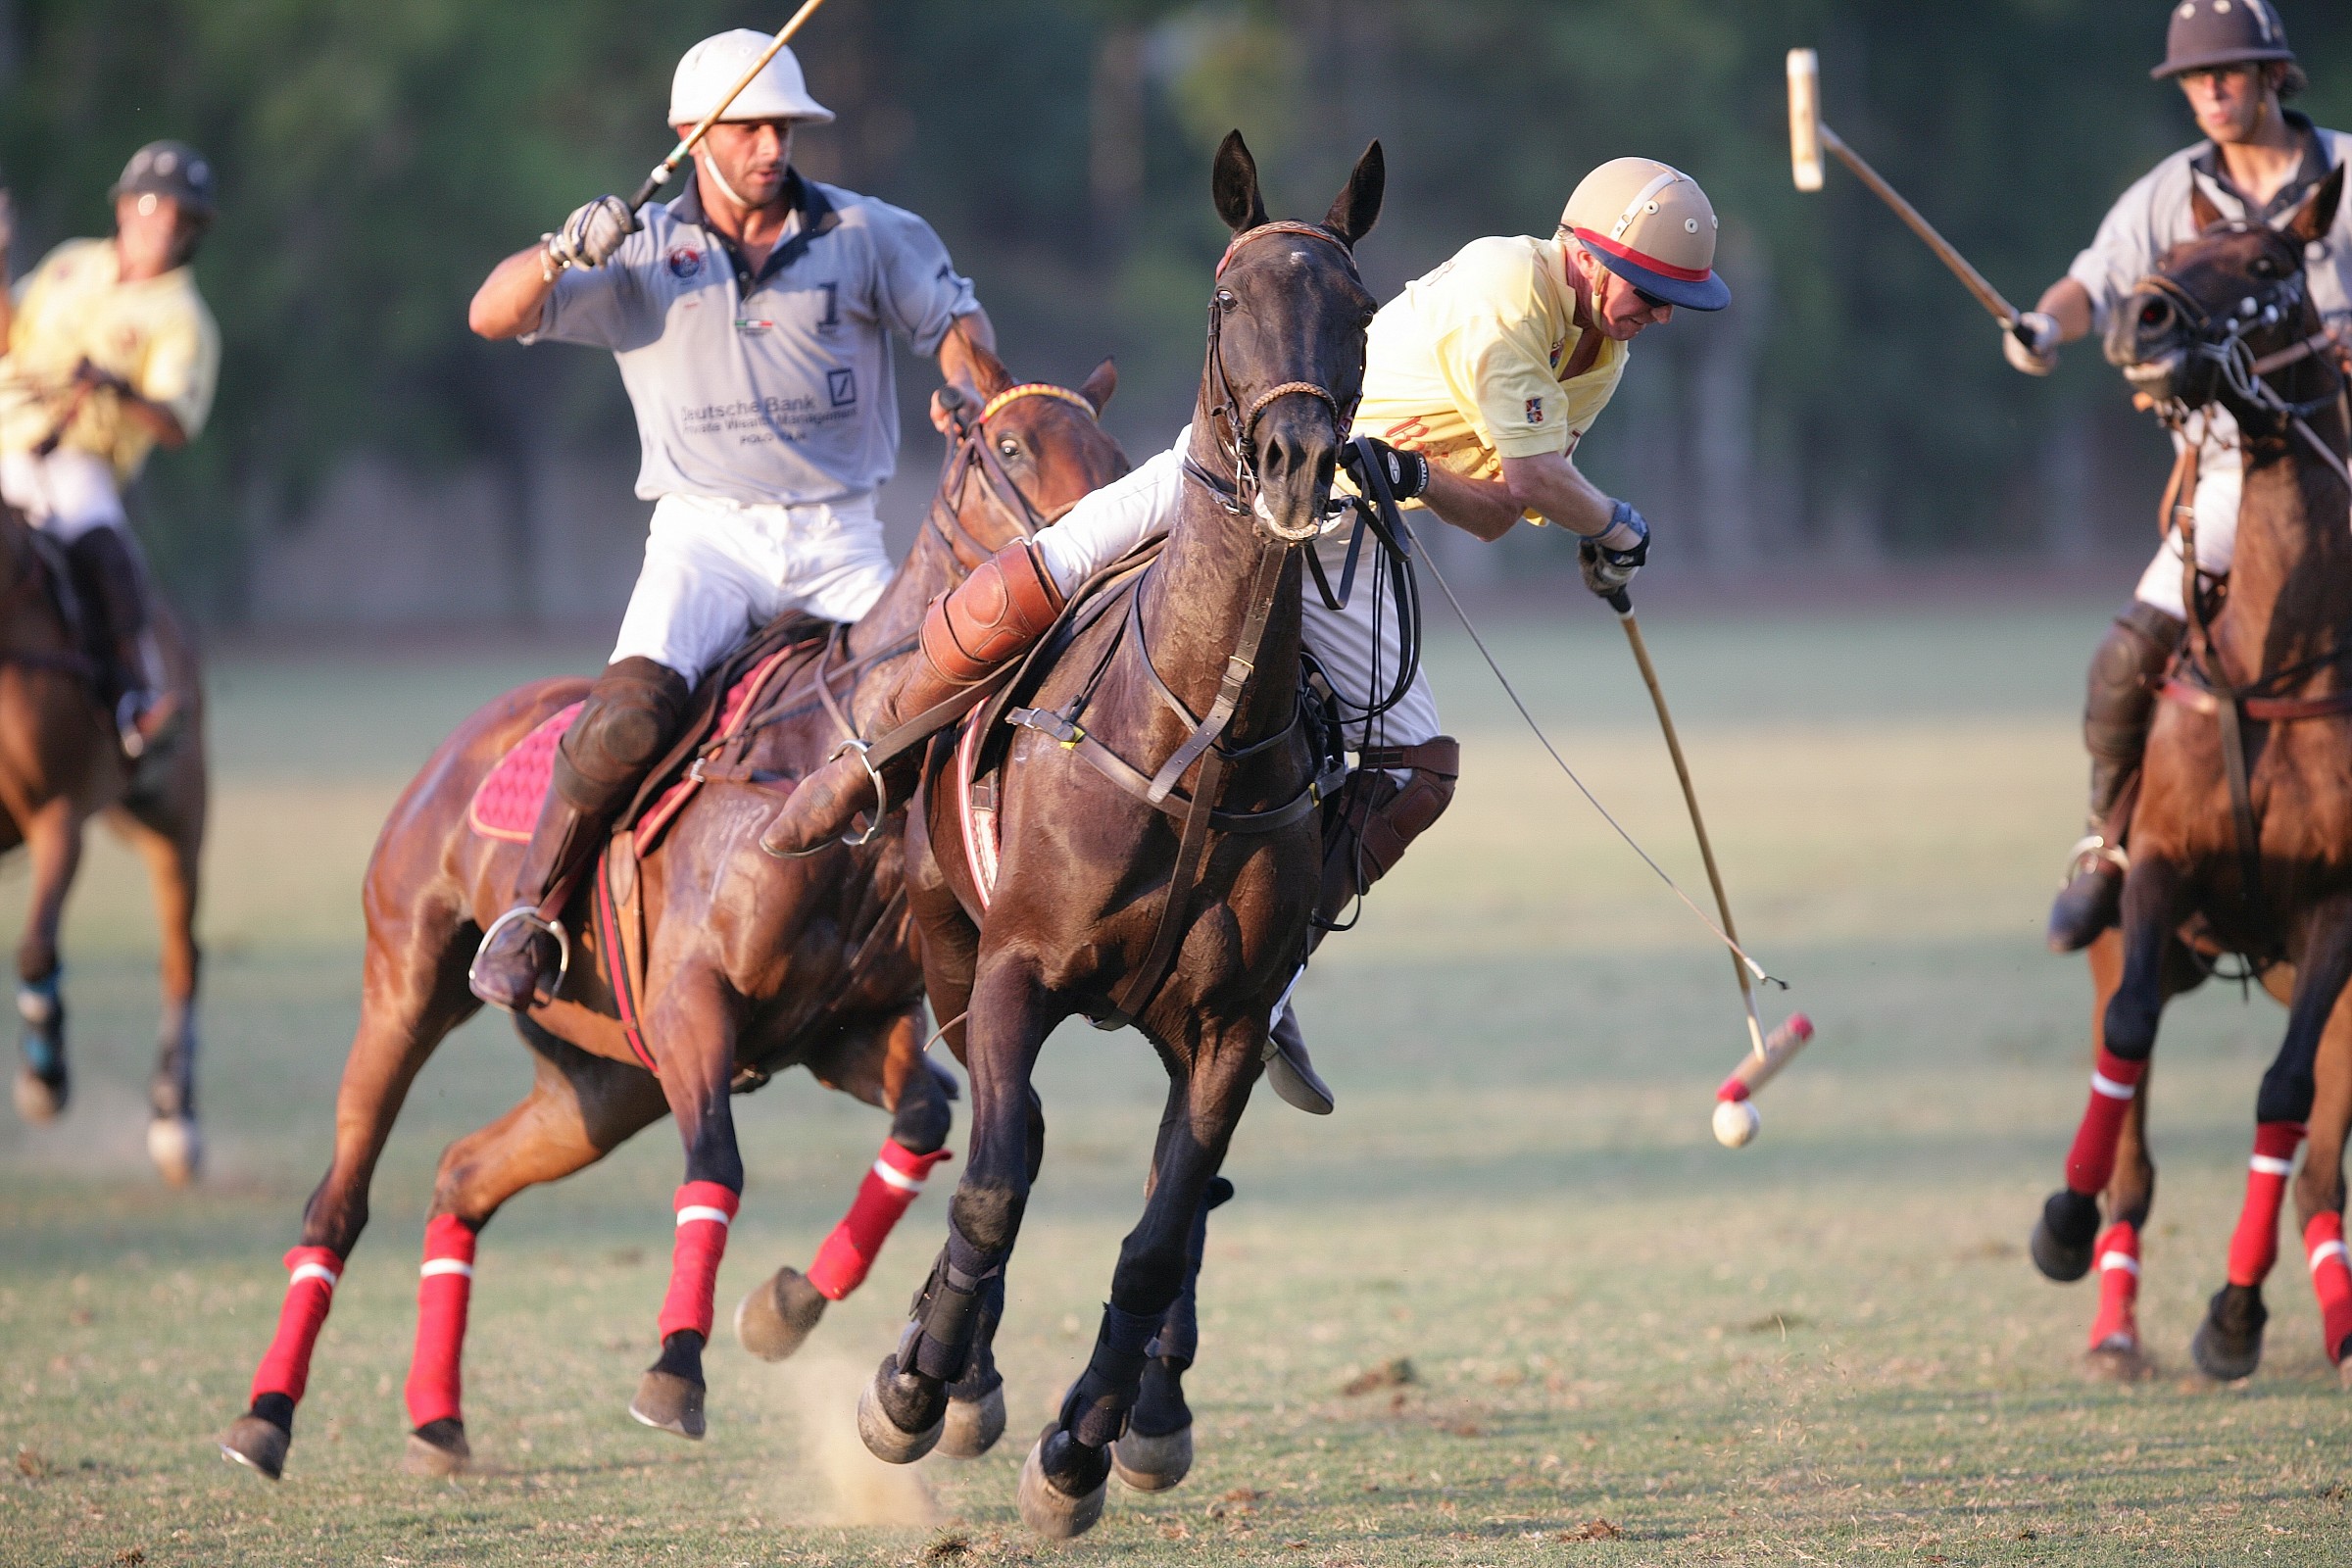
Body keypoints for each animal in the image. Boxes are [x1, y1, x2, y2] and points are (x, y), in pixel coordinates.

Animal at [0, 501, 206, 1185]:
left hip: (175, 817)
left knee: (181, 957)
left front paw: (45, 1081)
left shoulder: (59, 813)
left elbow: (36, 950)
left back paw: (176, 1123)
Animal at [216, 340, 1128, 1483]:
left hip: (602, 1081)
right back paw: (263, 1416)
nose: (1100, 559)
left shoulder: (849, 1031)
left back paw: (435, 1418)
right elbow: (718, 1166)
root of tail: (457, 743)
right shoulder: (697, 1003)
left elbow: (922, 1119)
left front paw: (788, 1309)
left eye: (1116, 454)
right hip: (408, 988)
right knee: (340, 1195)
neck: (840, 769)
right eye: (1009, 446)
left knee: (463, 1174)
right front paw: (676, 1370)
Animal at [845, 131, 1384, 1540]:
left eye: (1361, 307)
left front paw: (1080, 1449)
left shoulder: (1232, 1021)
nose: (1296, 461)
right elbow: (994, 1177)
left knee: (1171, 1202)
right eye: (1226, 298)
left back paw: (1141, 1408)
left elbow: (1156, 1233)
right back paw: (951, 1367)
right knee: (1011, 1145)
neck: (1195, 730)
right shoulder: (1014, 968)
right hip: (949, 953)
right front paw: (917, 1384)